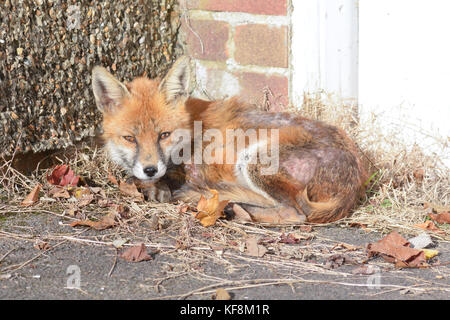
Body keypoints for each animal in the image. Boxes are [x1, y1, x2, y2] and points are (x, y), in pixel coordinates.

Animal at [91, 56, 366, 224]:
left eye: (164, 135)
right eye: (130, 138)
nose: (150, 169)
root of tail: (355, 177)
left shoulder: (198, 172)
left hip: (254, 161)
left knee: (294, 213)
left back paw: (237, 210)